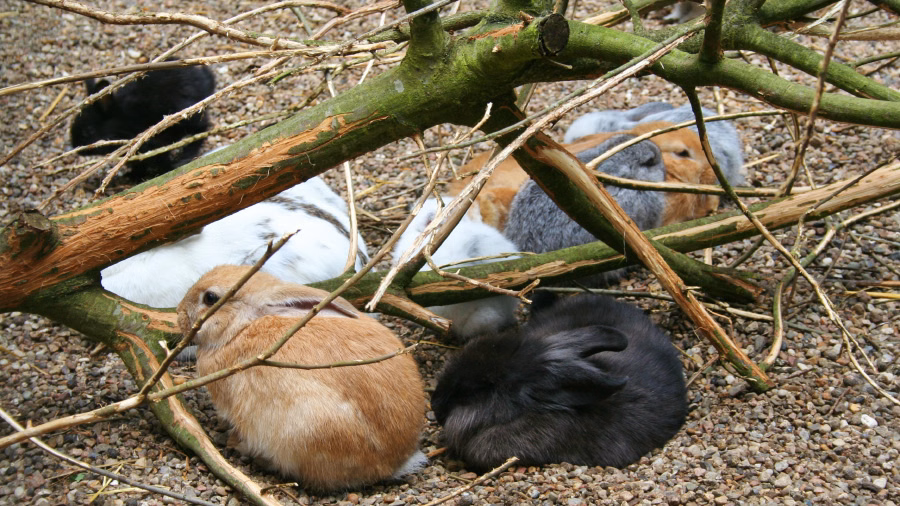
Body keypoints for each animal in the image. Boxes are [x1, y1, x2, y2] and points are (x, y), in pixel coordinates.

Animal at [70, 63, 216, 182]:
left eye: (88, 131)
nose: (77, 150)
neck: (120, 120)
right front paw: (132, 175)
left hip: (188, 118)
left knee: (202, 129)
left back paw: (185, 156)